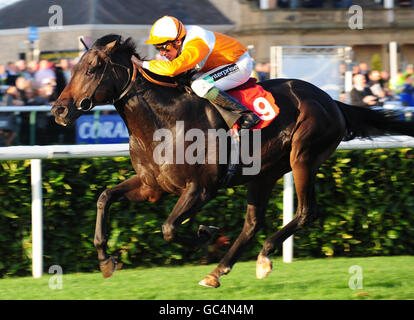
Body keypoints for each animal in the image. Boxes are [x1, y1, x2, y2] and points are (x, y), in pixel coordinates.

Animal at [50, 35, 412, 288]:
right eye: (73, 68)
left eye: (92, 69)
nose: (59, 109)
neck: (163, 122)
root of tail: (332, 101)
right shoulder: (152, 186)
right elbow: (104, 197)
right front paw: (105, 260)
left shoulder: (201, 188)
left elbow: (168, 228)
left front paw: (207, 232)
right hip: (263, 173)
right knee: (252, 223)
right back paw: (218, 271)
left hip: (303, 157)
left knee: (306, 211)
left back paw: (263, 256)